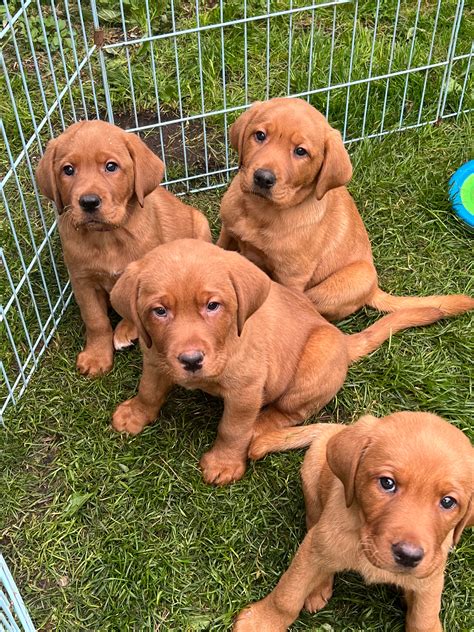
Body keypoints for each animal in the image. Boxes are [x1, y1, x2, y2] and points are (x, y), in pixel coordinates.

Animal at [35, 119, 209, 376]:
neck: (107, 238)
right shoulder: (82, 281)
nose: (88, 202)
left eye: (111, 166)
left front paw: (126, 331)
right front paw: (97, 356)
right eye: (68, 170)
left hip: (201, 224)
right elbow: (95, 320)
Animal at [108, 239, 466, 486]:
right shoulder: (156, 359)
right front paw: (134, 415)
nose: (191, 360)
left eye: (213, 306)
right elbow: (149, 390)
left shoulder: (245, 391)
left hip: (314, 362)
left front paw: (224, 464)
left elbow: (232, 428)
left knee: (288, 412)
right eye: (159, 311)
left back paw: (260, 426)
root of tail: (342, 340)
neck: (226, 343)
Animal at [219, 98, 474, 320]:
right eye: (260, 135)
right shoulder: (227, 231)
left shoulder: (291, 277)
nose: (263, 178)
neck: (259, 211)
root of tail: (373, 290)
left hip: (348, 281)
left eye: (300, 151)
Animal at [235, 412, 472, 628]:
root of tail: (336, 429)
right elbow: (288, 595)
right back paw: (317, 587)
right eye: (387, 483)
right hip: (312, 483)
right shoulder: (315, 548)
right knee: (312, 523)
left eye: (448, 502)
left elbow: (424, 618)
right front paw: (260, 623)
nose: (408, 556)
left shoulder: (431, 579)